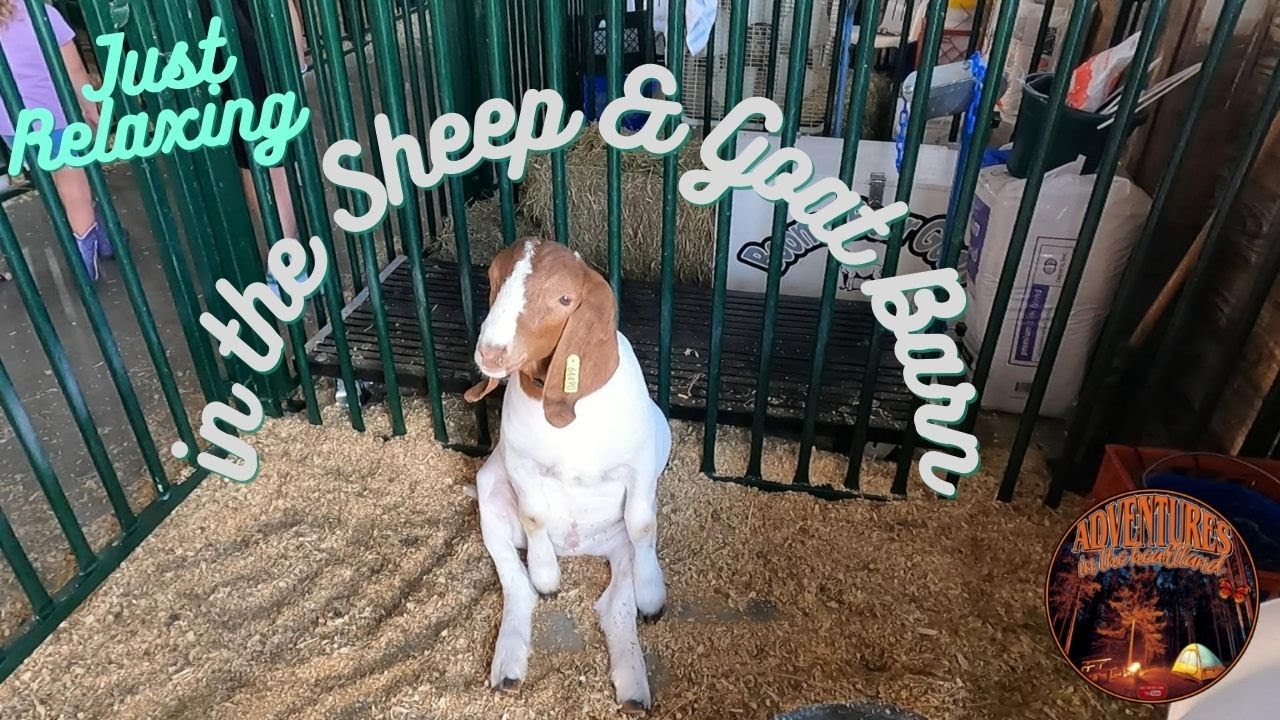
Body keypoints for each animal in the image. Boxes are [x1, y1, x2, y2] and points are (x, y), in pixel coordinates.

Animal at [464, 237, 672, 715]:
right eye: (493, 278)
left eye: (563, 299)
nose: (491, 353)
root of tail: (578, 548)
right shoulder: (520, 464)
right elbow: (534, 515)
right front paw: (548, 576)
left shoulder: (639, 464)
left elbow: (643, 524)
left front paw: (653, 596)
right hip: (491, 500)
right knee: (518, 586)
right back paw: (509, 668)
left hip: (618, 548)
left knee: (614, 606)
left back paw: (633, 688)